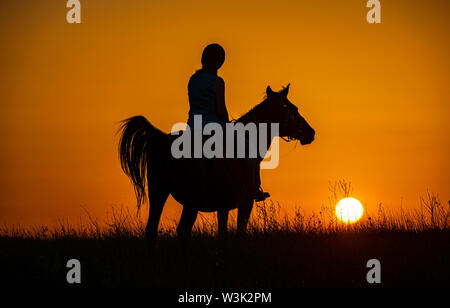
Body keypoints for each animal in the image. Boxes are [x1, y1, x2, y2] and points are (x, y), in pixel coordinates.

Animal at [119, 84, 316, 248]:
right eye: (292, 108)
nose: (311, 132)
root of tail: (161, 139)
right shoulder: (242, 203)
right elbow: (235, 234)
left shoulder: (224, 206)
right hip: (190, 199)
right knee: (180, 230)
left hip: (160, 193)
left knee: (156, 230)